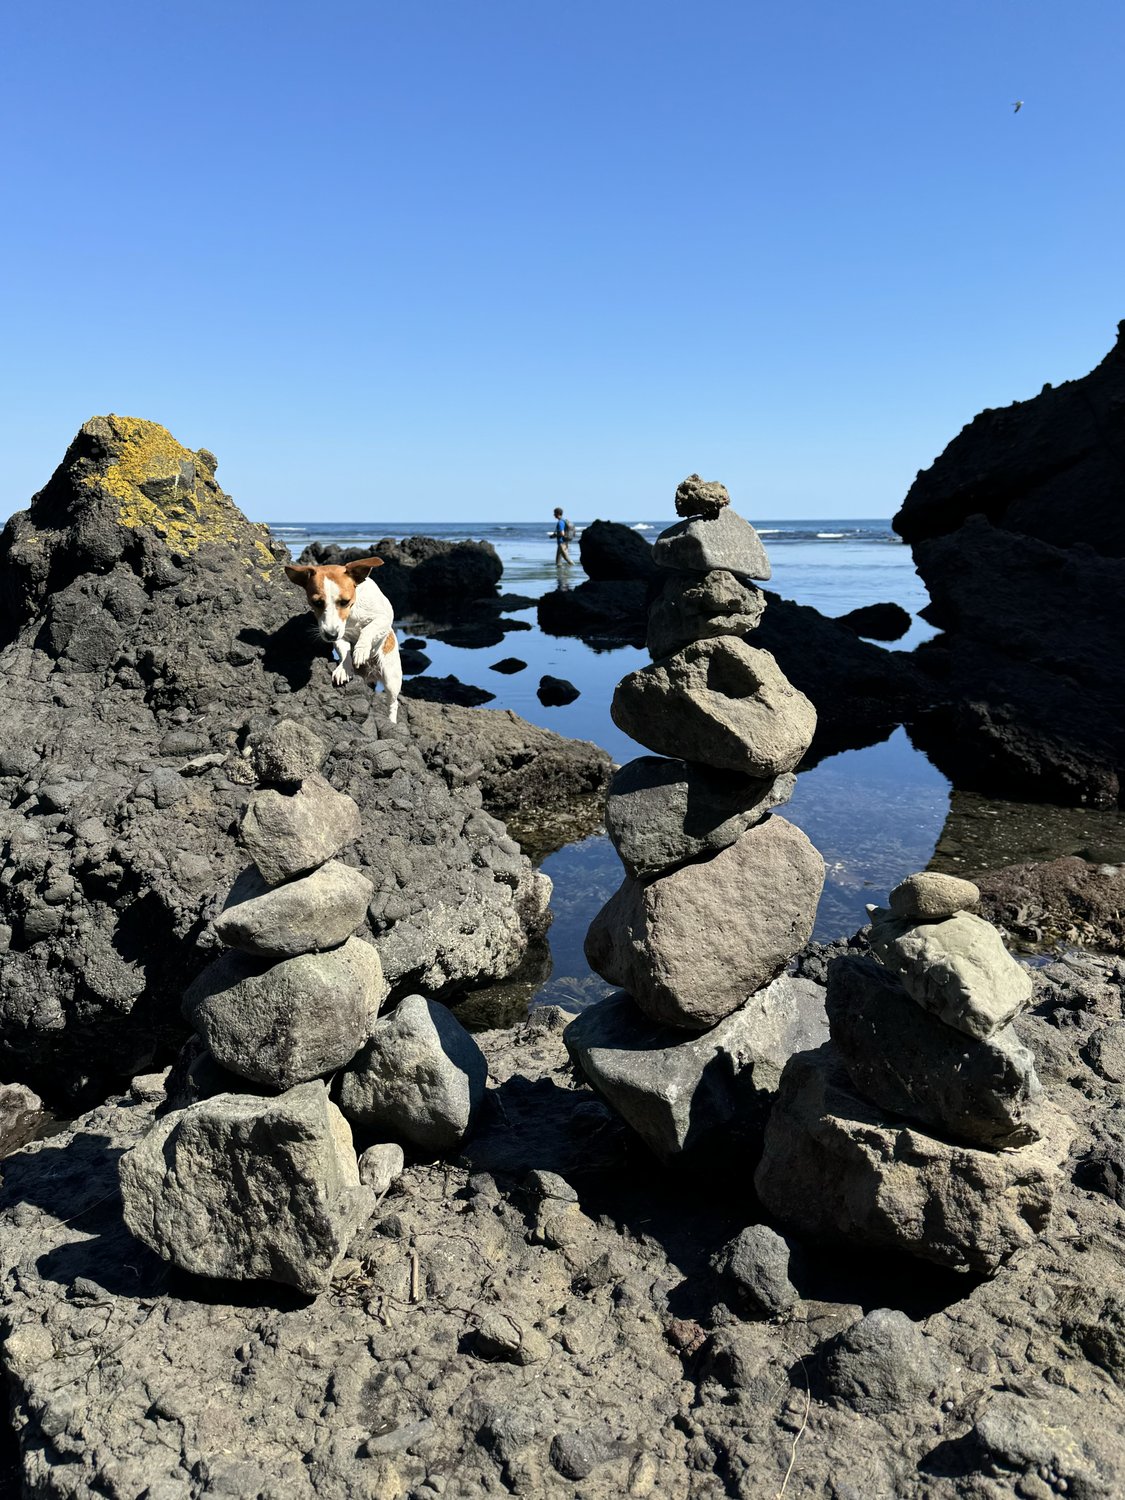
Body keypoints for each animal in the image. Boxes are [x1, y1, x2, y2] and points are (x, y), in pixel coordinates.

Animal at [283, 564, 402, 726]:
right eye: (317, 603)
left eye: (344, 601)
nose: (330, 635)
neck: (352, 611)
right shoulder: (339, 635)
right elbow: (344, 651)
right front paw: (344, 668)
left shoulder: (384, 618)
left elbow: (368, 629)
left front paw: (361, 650)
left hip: (391, 678)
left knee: (393, 703)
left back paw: (392, 721)